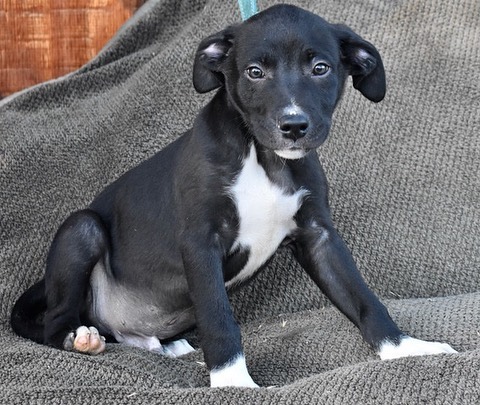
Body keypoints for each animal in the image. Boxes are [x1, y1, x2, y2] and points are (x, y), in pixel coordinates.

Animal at [10, 4, 454, 386]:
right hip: (81, 229)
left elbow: (363, 297)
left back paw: (165, 345)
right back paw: (80, 338)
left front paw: (405, 348)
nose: (294, 126)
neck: (265, 159)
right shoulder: (200, 242)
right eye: (254, 71)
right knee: (55, 321)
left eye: (320, 68)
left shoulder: (318, 236)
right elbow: (219, 317)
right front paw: (233, 381)